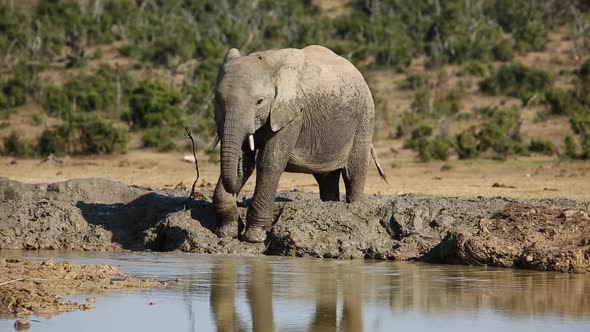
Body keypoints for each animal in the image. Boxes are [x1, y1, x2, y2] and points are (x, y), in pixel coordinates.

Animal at [210, 44, 386, 243]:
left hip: (365, 116)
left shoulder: (291, 112)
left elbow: (269, 163)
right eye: (217, 99)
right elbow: (248, 163)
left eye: (259, 102)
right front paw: (225, 232)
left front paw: (254, 237)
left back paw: (354, 209)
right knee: (327, 179)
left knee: (354, 172)